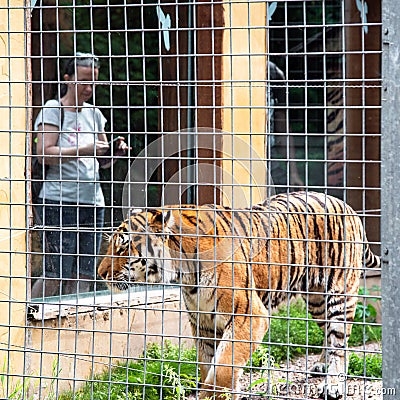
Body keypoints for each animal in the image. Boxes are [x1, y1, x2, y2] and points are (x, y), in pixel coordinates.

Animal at [98, 191, 380, 400]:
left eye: (123, 246)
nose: (100, 274)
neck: (184, 273)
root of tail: (347, 206)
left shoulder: (248, 316)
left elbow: (222, 369)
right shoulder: (204, 323)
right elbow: (208, 365)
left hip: (338, 295)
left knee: (340, 344)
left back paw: (333, 385)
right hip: (317, 300)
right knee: (329, 338)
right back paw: (321, 365)